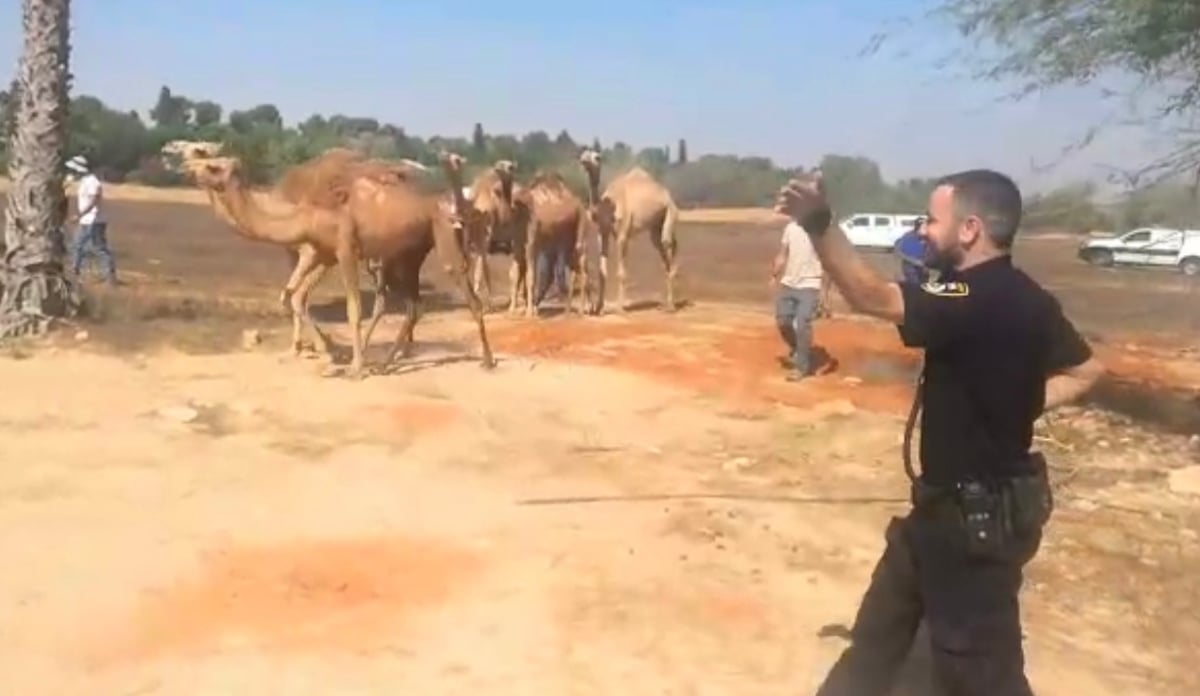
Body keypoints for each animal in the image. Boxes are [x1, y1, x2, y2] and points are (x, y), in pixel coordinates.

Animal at [578, 148, 681, 314]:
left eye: (597, 157)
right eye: (583, 154)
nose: (584, 160)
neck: (607, 208)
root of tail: (667, 193)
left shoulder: (623, 234)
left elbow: (621, 273)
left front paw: (620, 308)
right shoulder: (603, 232)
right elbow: (602, 272)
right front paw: (599, 308)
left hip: (671, 210)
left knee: (668, 243)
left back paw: (671, 306)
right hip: (655, 226)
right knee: (664, 247)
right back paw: (665, 305)